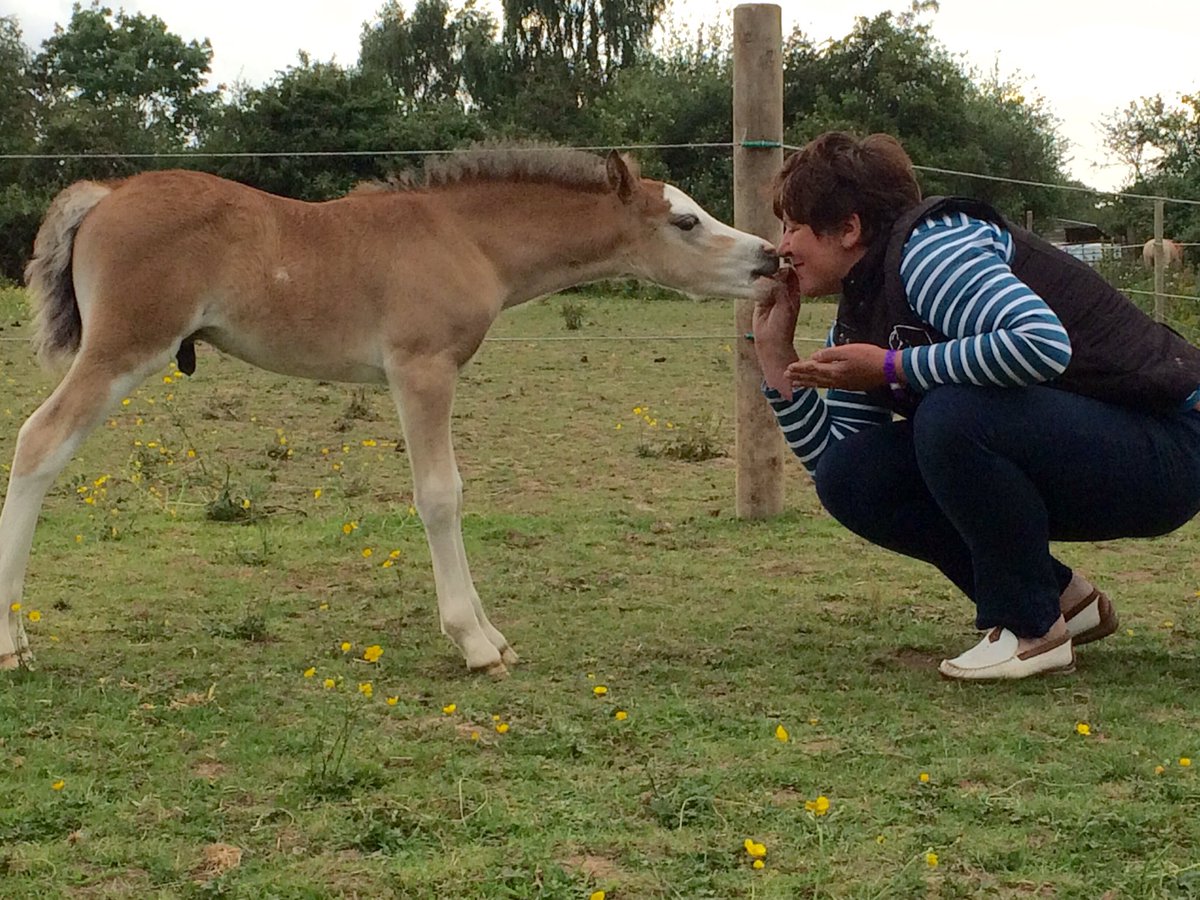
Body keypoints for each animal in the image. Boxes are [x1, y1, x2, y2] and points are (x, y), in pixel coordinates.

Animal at [0, 147, 779, 675]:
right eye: (685, 220)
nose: (769, 258)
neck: (462, 236)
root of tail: (106, 194)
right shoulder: (420, 371)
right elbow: (440, 495)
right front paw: (474, 641)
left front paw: (491, 634)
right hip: (123, 350)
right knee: (38, 443)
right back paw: (12, 642)